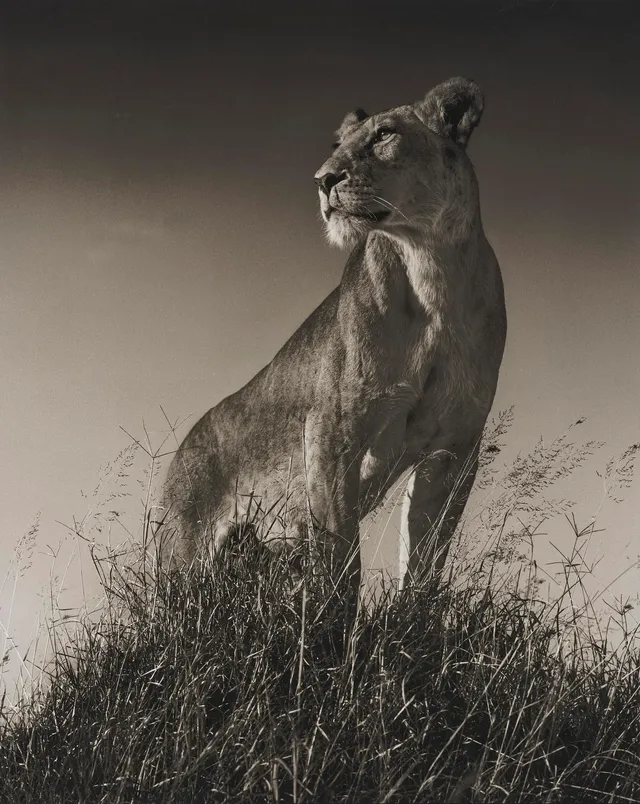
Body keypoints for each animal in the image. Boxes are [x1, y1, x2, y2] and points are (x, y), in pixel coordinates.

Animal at [162, 76, 506, 602]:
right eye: (337, 145)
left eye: (384, 134)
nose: (323, 180)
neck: (432, 269)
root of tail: (185, 447)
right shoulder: (330, 428)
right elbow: (342, 556)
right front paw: (335, 619)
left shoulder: (455, 445)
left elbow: (425, 561)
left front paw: (409, 617)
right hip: (185, 559)